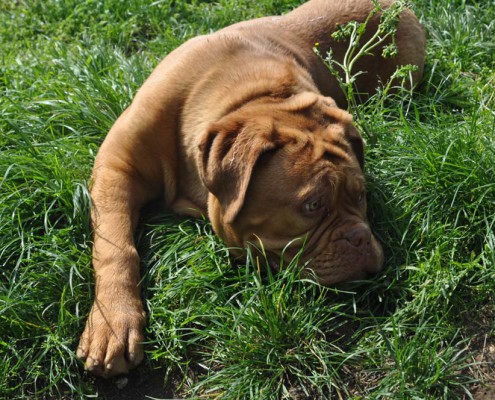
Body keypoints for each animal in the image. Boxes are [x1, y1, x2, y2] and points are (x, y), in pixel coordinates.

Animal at [77, 0, 426, 376]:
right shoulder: (116, 168)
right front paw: (113, 322)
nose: (361, 238)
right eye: (313, 205)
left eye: (360, 195)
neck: (256, 97)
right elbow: (115, 246)